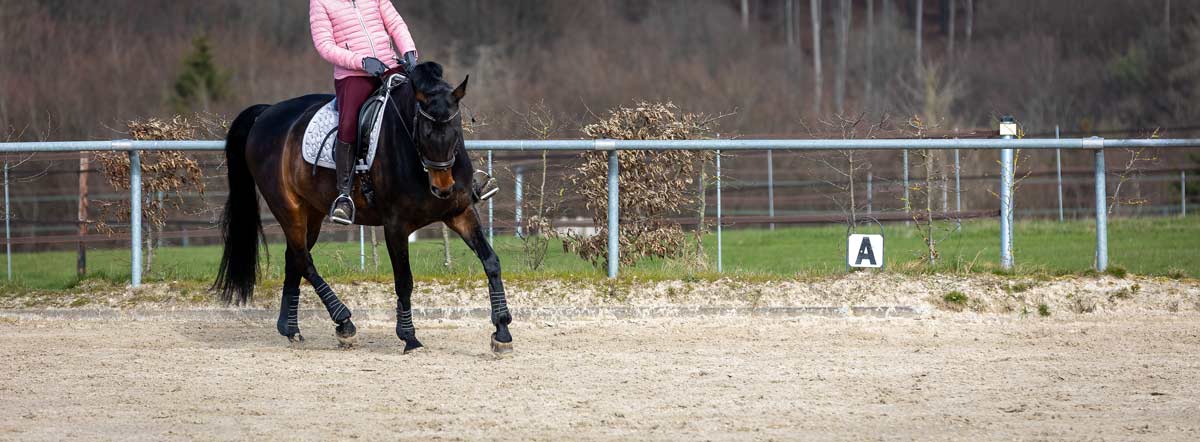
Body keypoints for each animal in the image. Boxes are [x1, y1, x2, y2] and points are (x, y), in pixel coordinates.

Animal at [211, 62, 511, 353]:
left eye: (457, 129)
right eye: (424, 132)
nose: (442, 189)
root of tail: (266, 112)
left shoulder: (460, 213)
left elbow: (491, 262)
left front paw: (502, 331)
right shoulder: (396, 226)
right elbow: (404, 280)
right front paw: (409, 337)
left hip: (312, 213)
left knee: (293, 258)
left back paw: (291, 328)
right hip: (288, 207)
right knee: (303, 260)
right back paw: (343, 323)